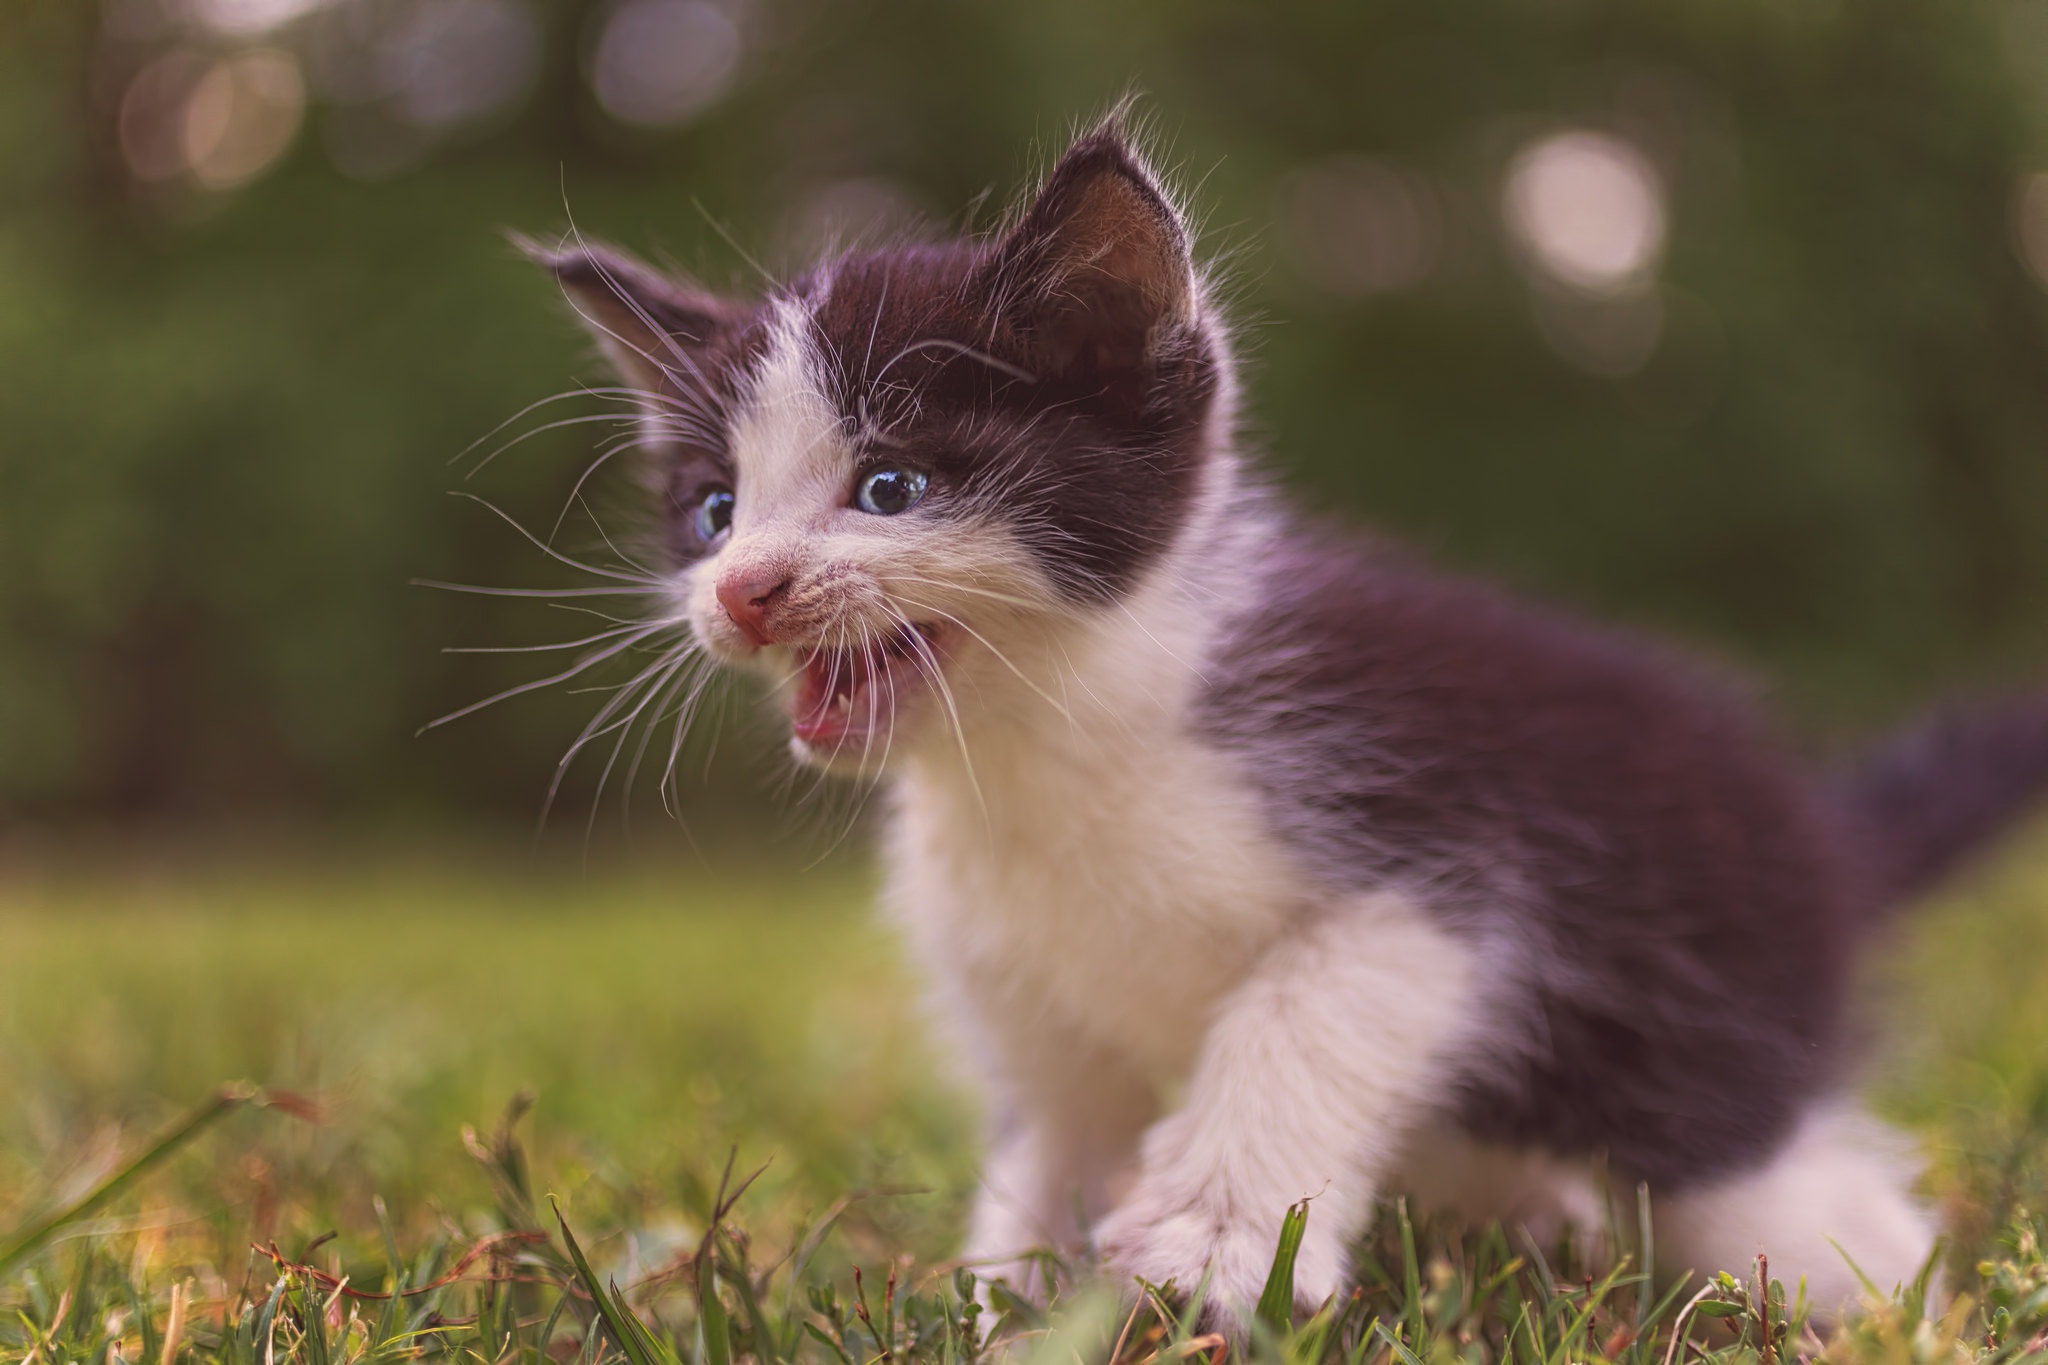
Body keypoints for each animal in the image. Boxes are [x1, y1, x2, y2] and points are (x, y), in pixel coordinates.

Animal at [528, 125, 2048, 1326]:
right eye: (715, 510)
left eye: (891, 487)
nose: (746, 590)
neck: (1045, 752)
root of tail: (1829, 845)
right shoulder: (1016, 975)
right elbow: (1054, 1135)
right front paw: (1015, 1295)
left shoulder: (1438, 844)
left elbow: (1310, 1005)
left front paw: (1208, 1246)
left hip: (1700, 1041)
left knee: (1784, 1202)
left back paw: (1862, 1289)